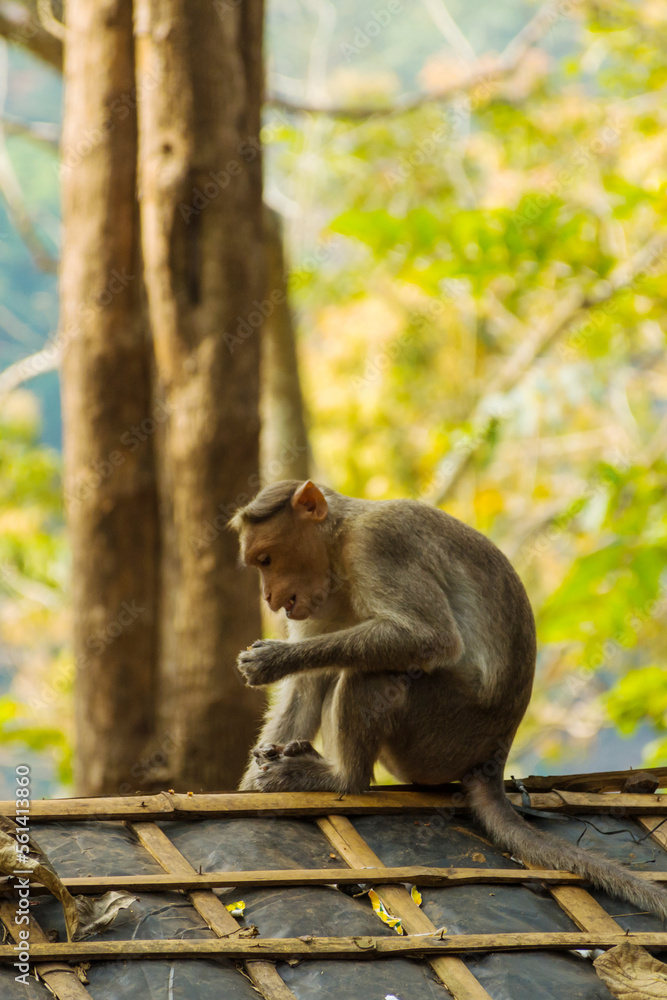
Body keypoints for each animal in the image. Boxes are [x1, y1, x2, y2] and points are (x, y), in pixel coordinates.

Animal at [231, 479, 667, 921]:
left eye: (267, 558)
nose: (270, 597)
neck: (339, 545)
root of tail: (494, 757)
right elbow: (306, 688)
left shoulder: (379, 545)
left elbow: (429, 637)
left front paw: (272, 660)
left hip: (444, 735)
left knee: (376, 673)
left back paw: (342, 778)